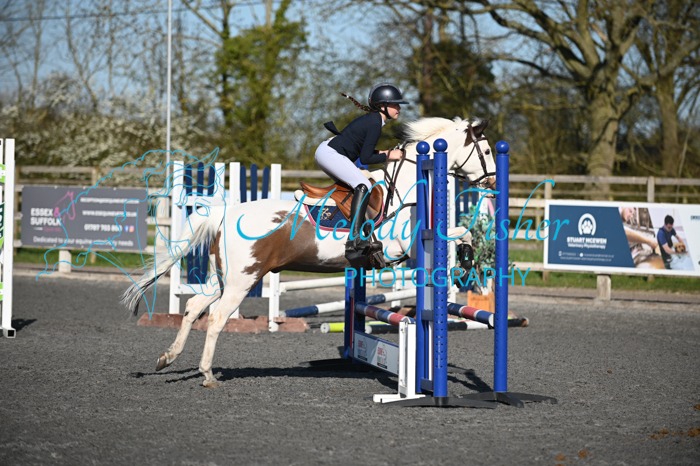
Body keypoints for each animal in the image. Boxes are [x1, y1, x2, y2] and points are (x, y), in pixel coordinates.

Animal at [122, 116, 496, 387]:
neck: (406, 186)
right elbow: (459, 233)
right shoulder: (403, 245)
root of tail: (225, 214)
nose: (492, 183)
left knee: (194, 308)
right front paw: (466, 262)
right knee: (215, 318)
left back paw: (168, 358)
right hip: (242, 280)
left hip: (223, 278)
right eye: (489, 151)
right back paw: (207, 375)